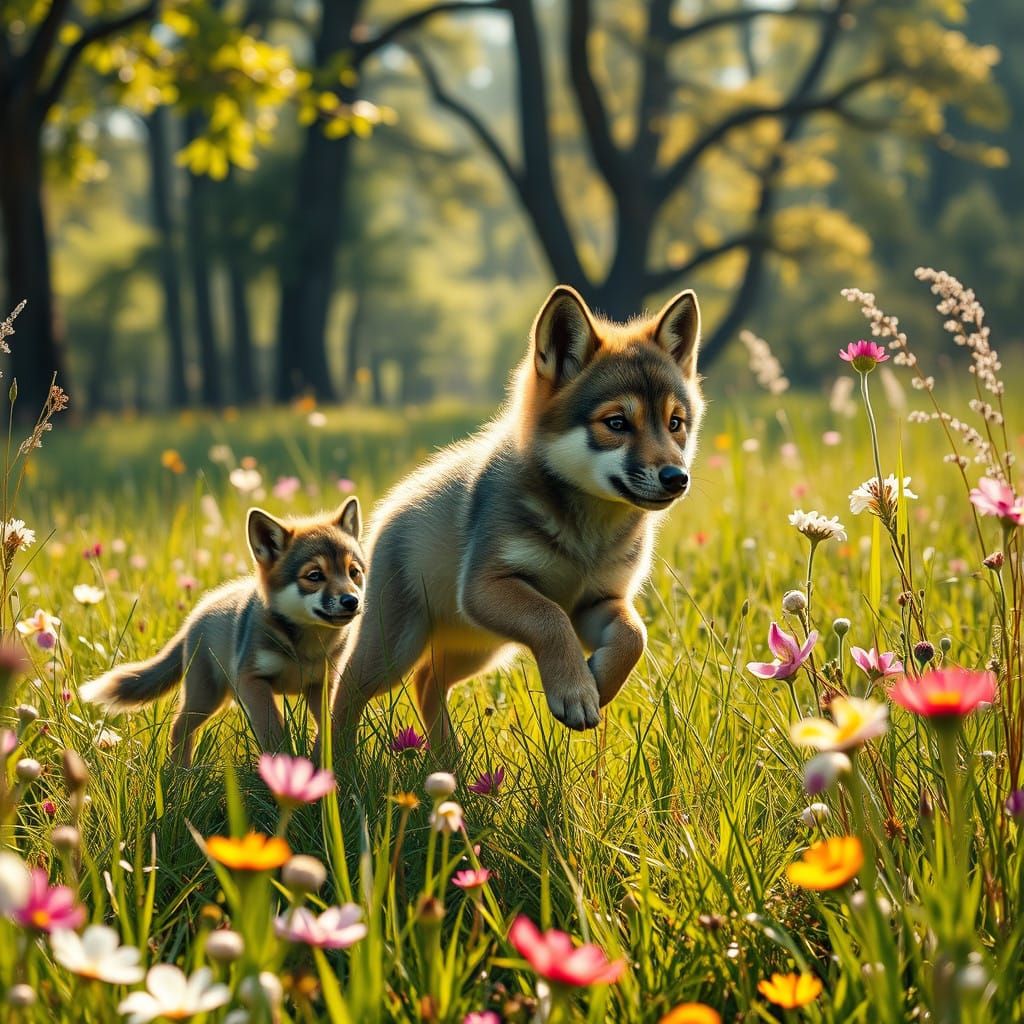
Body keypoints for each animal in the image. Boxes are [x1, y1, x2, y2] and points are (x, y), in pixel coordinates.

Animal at [81, 500, 364, 767]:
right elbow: (273, 730)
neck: (304, 649)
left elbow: (327, 725)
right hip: (206, 696)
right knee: (179, 727)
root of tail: (197, 614)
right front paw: (283, 764)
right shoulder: (251, 679)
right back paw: (179, 774)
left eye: (353, 572)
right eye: (314, 576)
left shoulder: (322, 683)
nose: (352, 601)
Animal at [331, 286, 704, 752]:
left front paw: (599, 680)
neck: (587, 537)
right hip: (396, 647)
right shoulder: (487, 588)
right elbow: (550, 618)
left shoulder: (599, 600)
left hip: (477, 647)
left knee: (427, 681)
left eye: (675, 423)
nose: (677, 477)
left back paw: (448, 759)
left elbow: (634, 636)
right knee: (346, 689)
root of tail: (395, 504)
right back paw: (337, 758)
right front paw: (575, 691)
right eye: (616, 423)